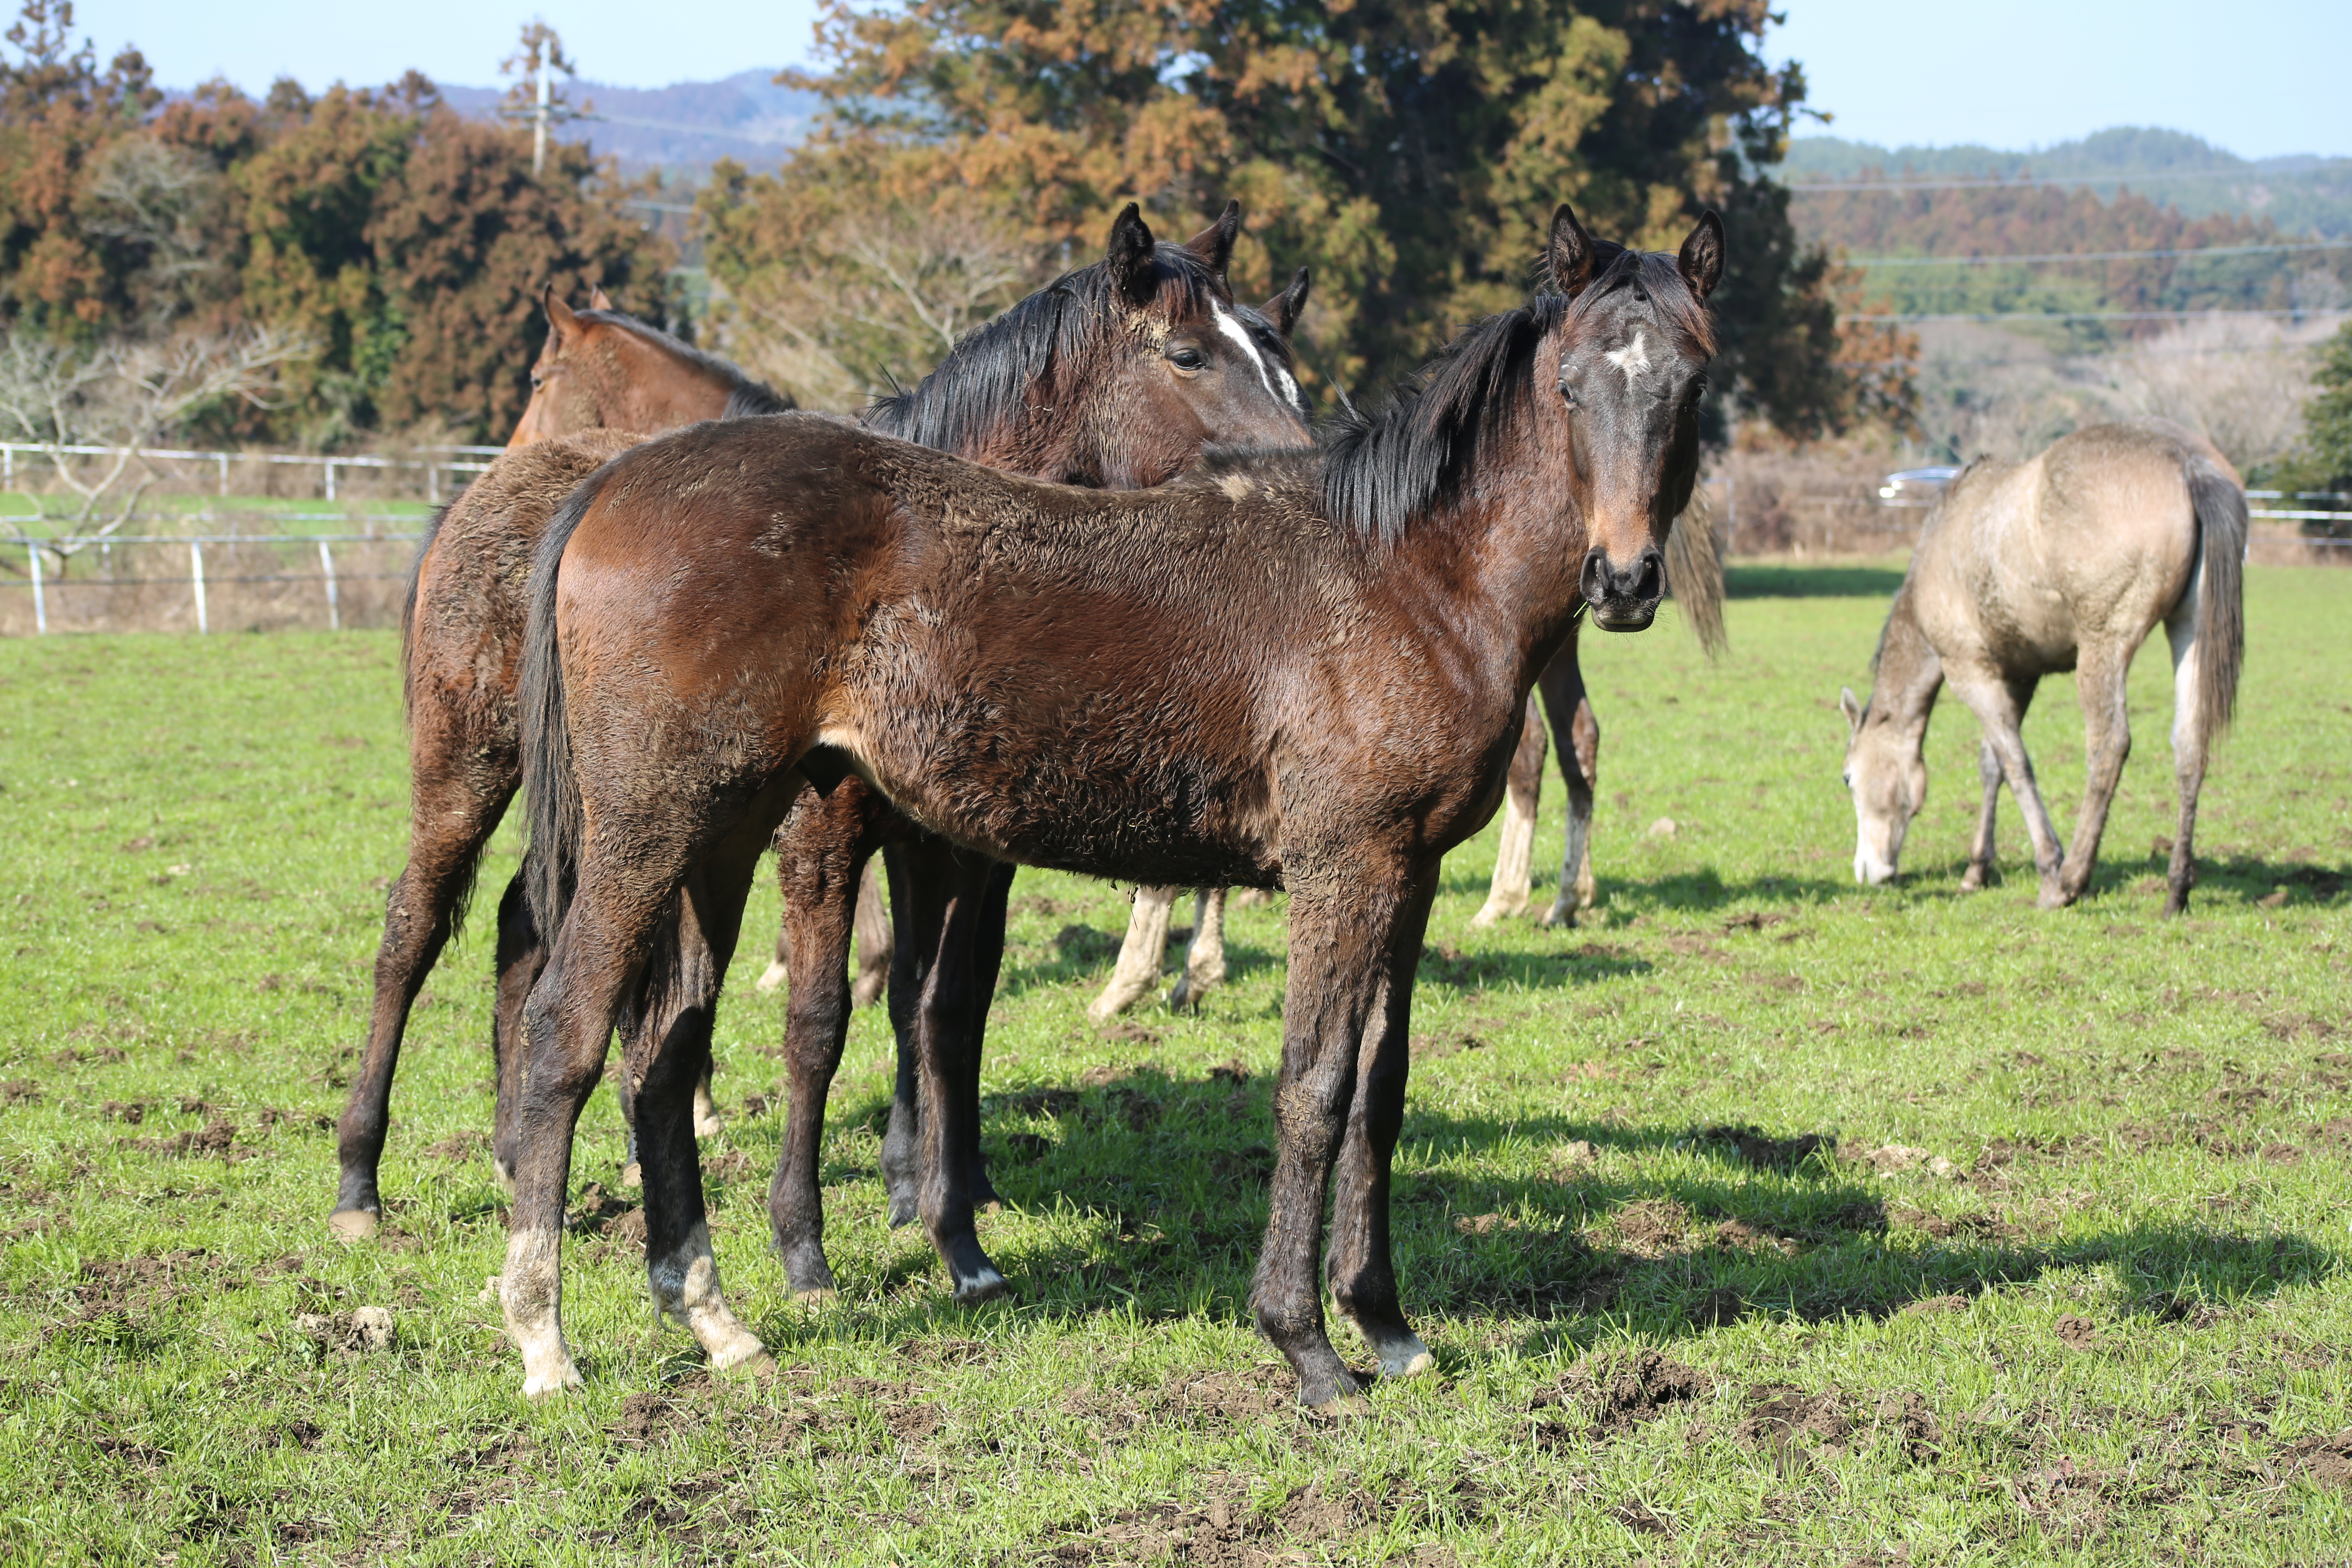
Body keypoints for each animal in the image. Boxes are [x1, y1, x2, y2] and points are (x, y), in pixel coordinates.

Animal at [329, 285, 800, 1241]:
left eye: (540, 378)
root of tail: (467, 503)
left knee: (520, 922)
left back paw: (516, 1152)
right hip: (470, 764)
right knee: (413, 928)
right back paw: (360, 1177)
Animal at [510, 202, 1731, 1401]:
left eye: (1693, 382)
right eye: (1569, 384)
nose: (1624, 579)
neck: (1404, 575)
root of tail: (610, 485)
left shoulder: (1409, 870)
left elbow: (1379, 1089)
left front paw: (1385, 1323)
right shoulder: (1342, 869)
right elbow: (1314, 1086)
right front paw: (1306, 1342)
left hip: (722, 835)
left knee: (666, 1046)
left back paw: (714, 1320)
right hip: (652, 832)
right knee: (565, 1030)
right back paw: (544, 1338)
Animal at [1834, 416, 2239, 921]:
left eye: (1848, 779)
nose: (1866, 871)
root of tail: (2187, 461)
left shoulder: (1972, 672)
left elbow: (2016, 764)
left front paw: (2048, 866)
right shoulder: (2019, 675)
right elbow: (1993, 764)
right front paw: (1977, 870)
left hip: (2103, 648)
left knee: (2110, 746)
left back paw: (2070, 881)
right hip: (2190, 630)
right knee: (2189, 745)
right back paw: (2175, 891)